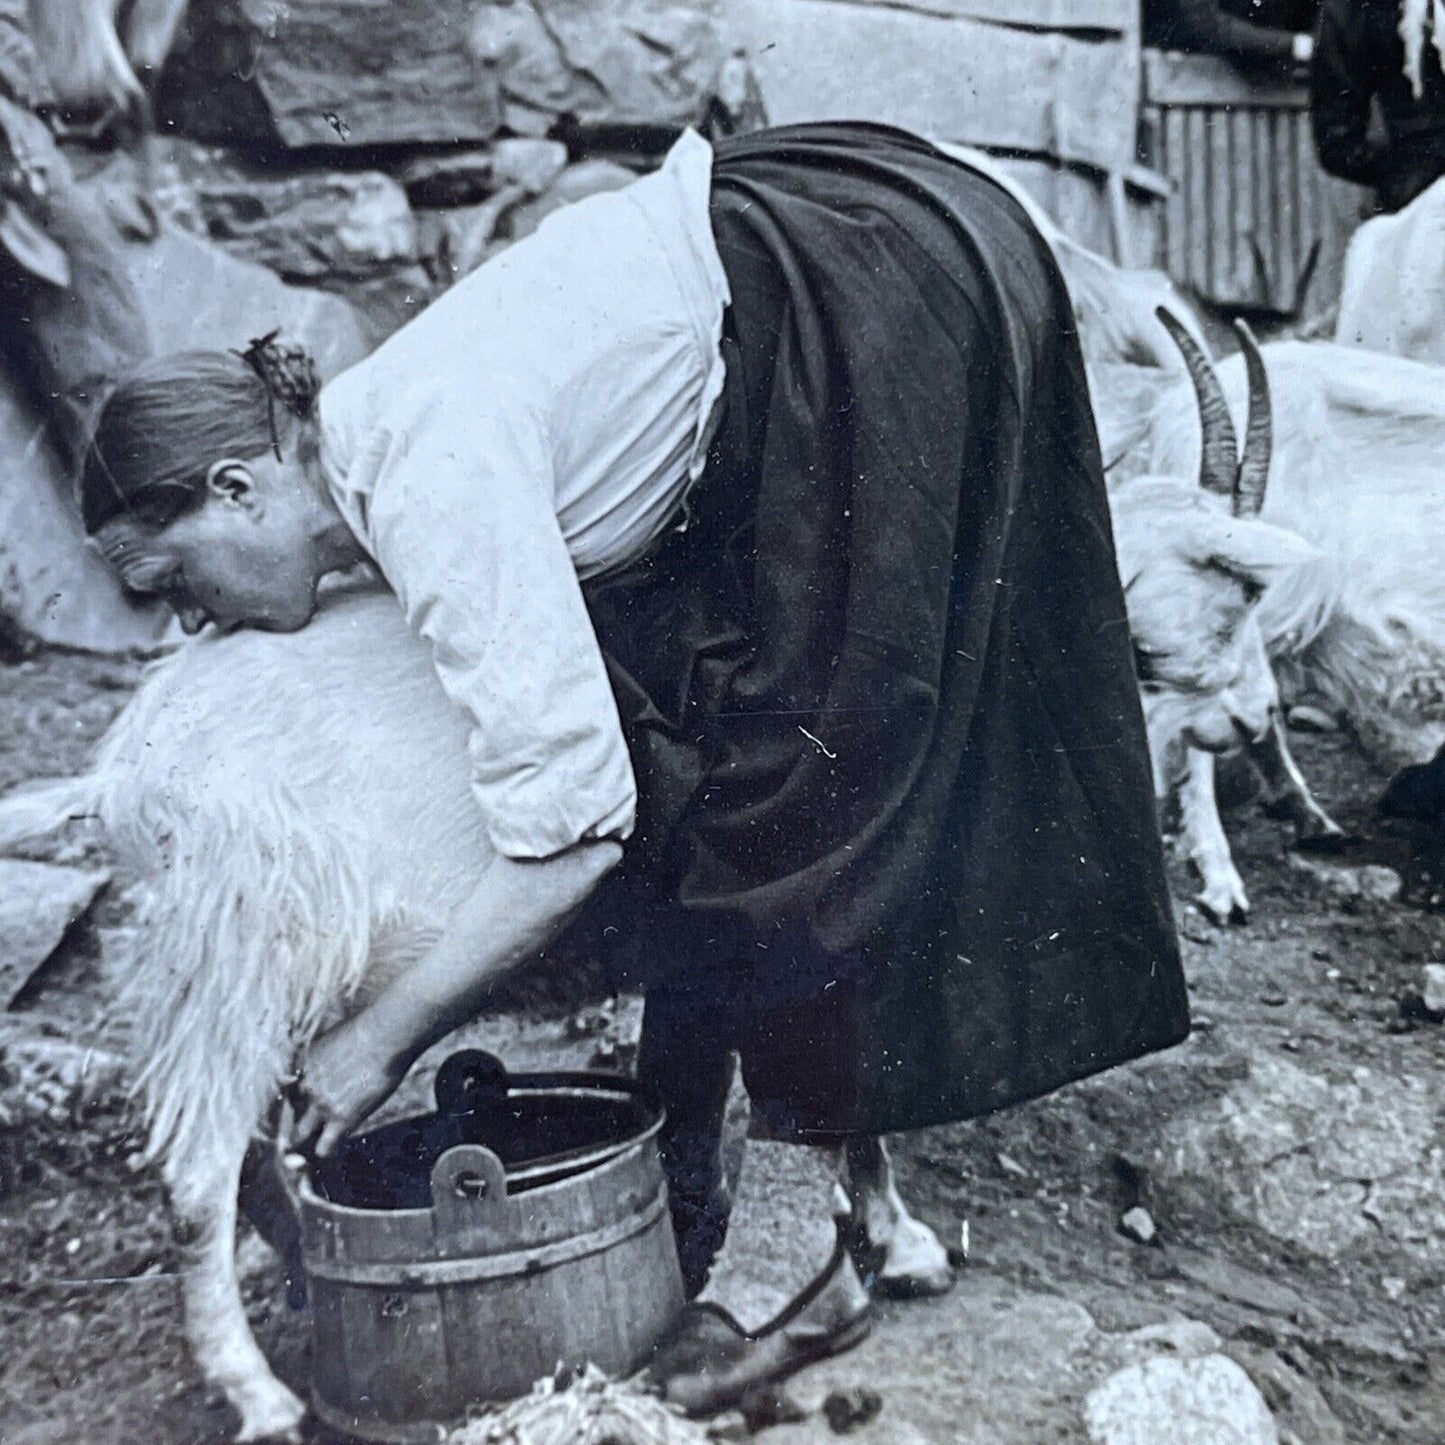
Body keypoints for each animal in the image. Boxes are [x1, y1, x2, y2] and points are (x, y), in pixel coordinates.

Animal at [0, 586, 947, 1445]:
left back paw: (307, 1275)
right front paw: (893, 1241)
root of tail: (122, 776)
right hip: (240, 958)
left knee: (251, 1158)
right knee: (197, 1180)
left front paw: (879, 1234)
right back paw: (260, 1396)